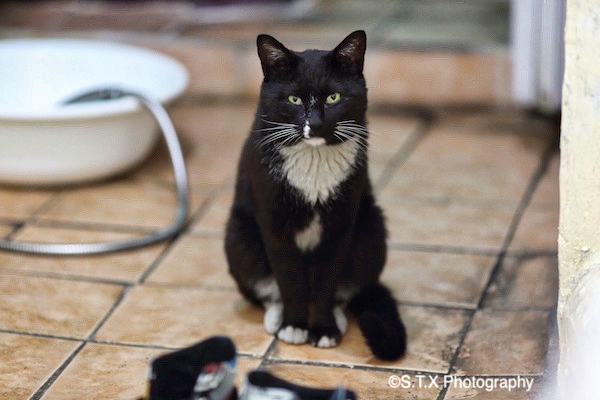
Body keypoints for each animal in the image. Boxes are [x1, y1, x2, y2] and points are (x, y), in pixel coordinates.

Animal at [226, 30, 408, 360]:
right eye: (294, 99)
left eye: (334, 97)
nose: (317, 123)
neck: (314, 161)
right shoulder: (274, 224)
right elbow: (288, 279)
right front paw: (294, 326)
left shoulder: (340, 226)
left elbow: (328, 282)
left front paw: (323, 331)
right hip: (239, 238)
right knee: (267, 288)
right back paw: (276, 318)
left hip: (371, 231)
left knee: (345, 290)